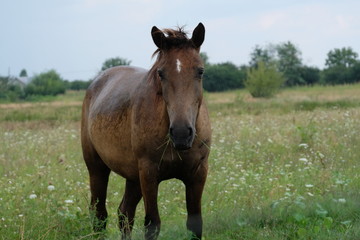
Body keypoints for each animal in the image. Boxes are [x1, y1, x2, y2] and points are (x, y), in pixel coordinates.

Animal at [81, 23, 211, 240]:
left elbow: (195, 224)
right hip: (97, 168)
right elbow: (152, 224)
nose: (181, 133)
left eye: (200, 71)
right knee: (99, 216)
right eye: (161, 73)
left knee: (124, 213)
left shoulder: (198, 173)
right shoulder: (149, 174)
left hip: (133, 176)